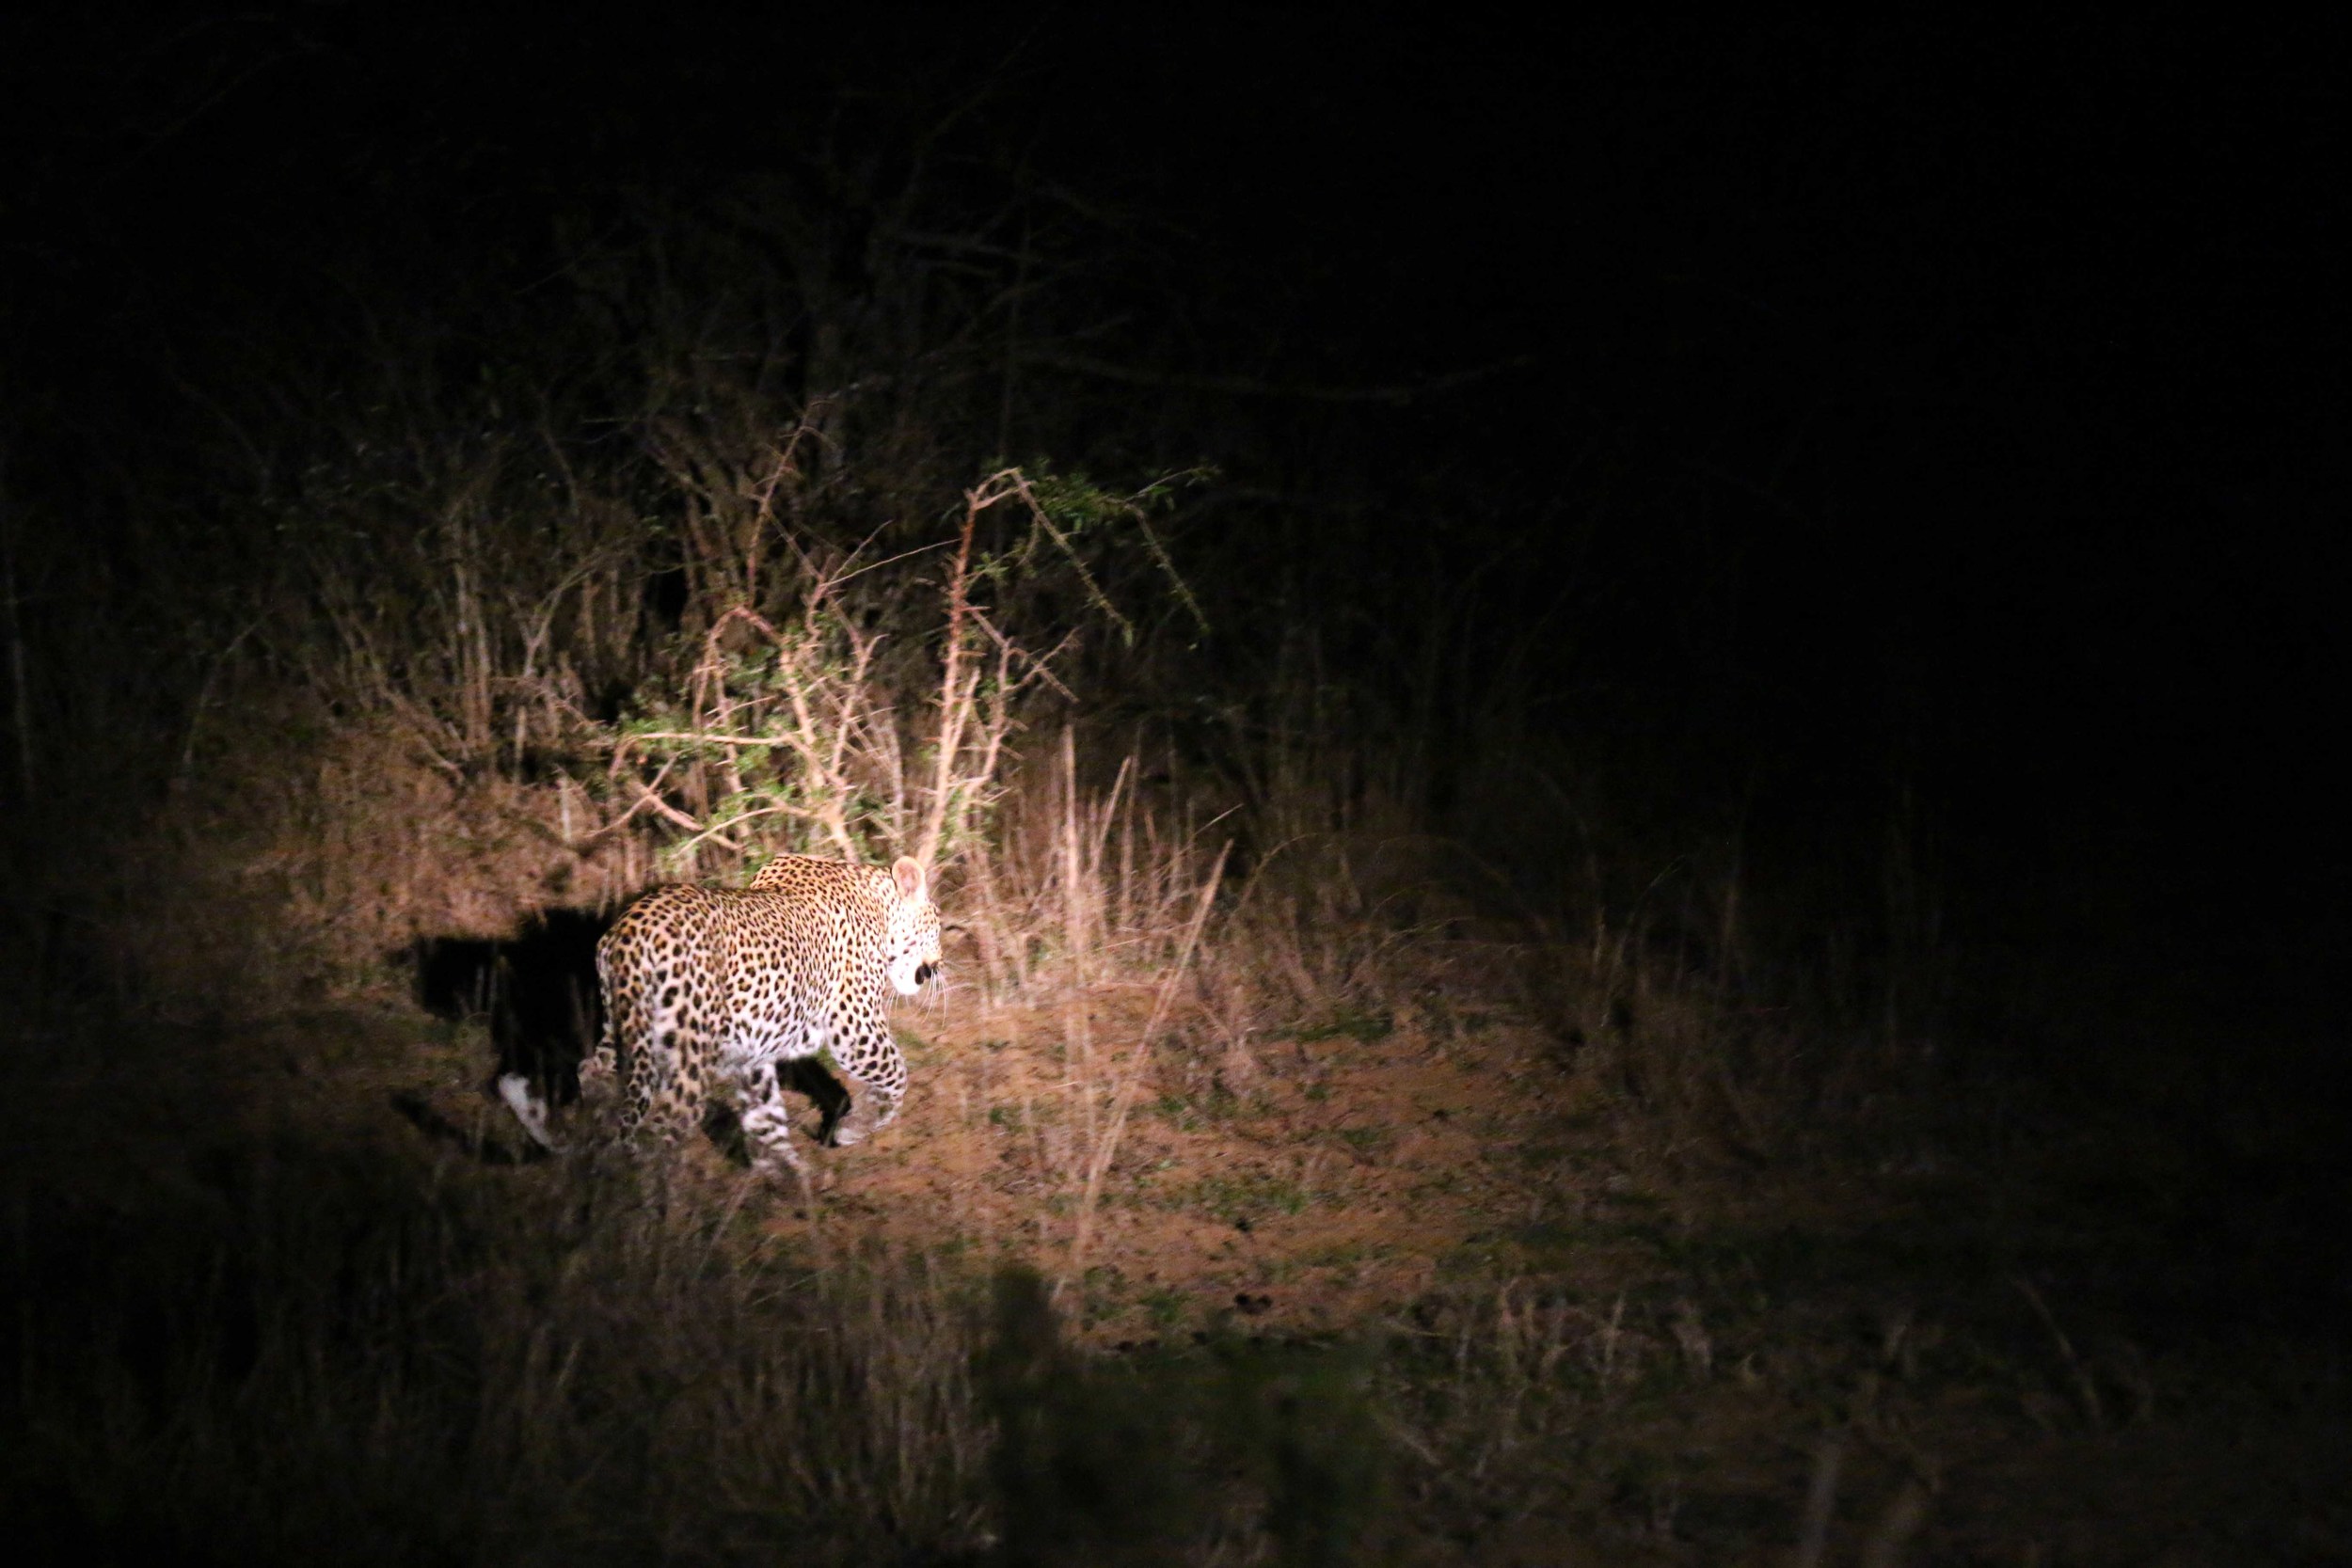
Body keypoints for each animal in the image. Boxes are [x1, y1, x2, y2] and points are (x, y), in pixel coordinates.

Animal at [498, 853, 941, 1186]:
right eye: (936, 928)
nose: (936, 965)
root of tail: (628, 934)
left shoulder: (751, 1054)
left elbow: (766, 1118)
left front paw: (788, 1178)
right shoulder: (855, 1026)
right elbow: (896, 1073)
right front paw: (854, 1128)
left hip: (624, 1030)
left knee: (594, 1073)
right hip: (688, 1055)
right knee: (663, 1123)